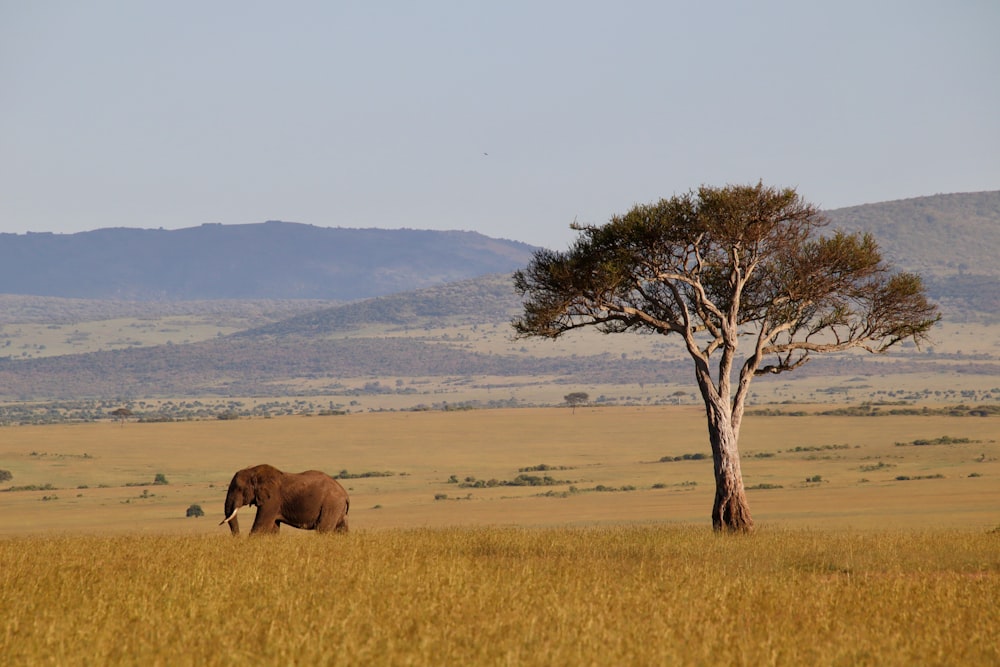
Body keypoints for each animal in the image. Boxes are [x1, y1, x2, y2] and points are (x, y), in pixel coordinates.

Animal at [221, 464, 350, 536]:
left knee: (323, 529)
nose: (238, 538)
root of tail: (345, 494)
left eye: (238, 488)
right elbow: (273, 529)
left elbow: (261, 525)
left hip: (331, 504)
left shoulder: (272, 499)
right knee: (341, 530)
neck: (254, 471)